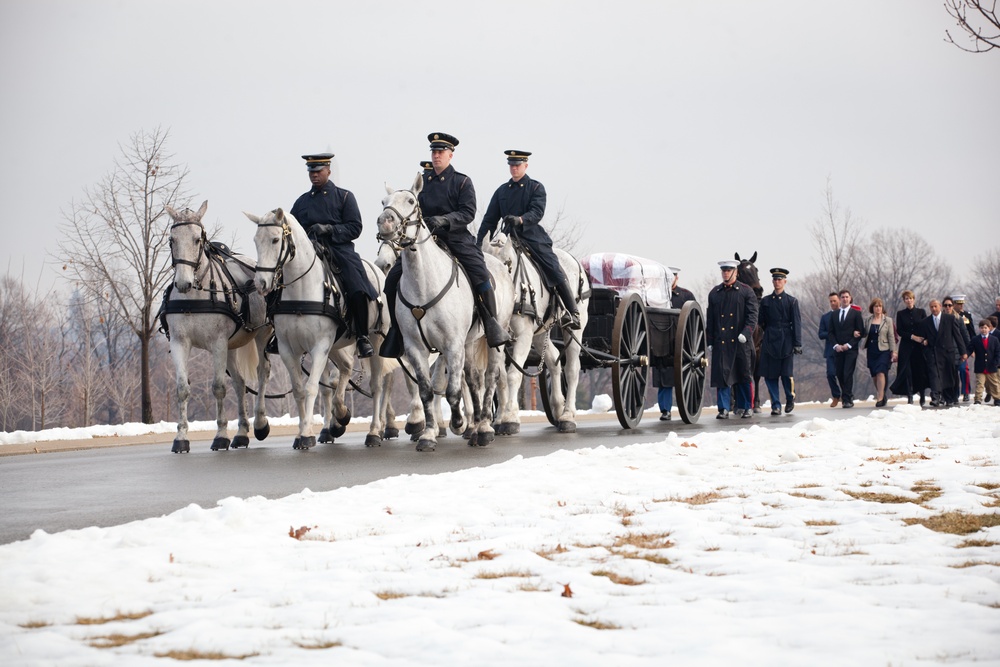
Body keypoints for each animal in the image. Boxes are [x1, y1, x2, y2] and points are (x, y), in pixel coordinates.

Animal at [164, 202, 274, 454]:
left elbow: (218, 387)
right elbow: (182, 389)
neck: (195, 296)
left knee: (262, 372)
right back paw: (242, 433)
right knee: (240, 383)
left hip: (261, 335)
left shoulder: (217, 343)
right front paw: (181, 437)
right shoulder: (179, 342)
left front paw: (221, 435)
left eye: (197, 239)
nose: (182, 283)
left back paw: (260, 423)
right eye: (172, 240)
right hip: (232, 345)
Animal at [247, 209, 390, 448]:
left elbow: (311, 387)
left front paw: (306, 434)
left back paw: (374, 432)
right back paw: (341, 415)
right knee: (346, 368)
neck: (301, 291)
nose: (261, 283)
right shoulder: (288, 349)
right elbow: (298, 390)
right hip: (336, 345)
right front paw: (303, 432)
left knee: (377, 385)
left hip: (376, 341)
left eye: (275, 240)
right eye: (256, 241)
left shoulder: (320, 346)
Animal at [376, 175, 516, 452]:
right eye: (384, 201)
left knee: (491, 378)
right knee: (473, 380)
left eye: (411, 201)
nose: (385, 222)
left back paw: (484, 428)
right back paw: (476, 428)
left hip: (492, 341)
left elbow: (451, 391)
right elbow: (426, 390)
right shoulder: (415, 349)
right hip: (469, 345)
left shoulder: (452, 345)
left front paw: (458, 423)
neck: (423, 283)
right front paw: (428, 434)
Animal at [486, 230, 588, 436]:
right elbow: (501, 376)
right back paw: (558, 408)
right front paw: (500, 419)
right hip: (541, 334)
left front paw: (510, 418)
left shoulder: (524, 336)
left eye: (507, 265)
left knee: (572, 368)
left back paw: (568, 416)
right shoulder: (499, 340)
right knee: (554, 361)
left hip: (574, 331)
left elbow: (513, 374)